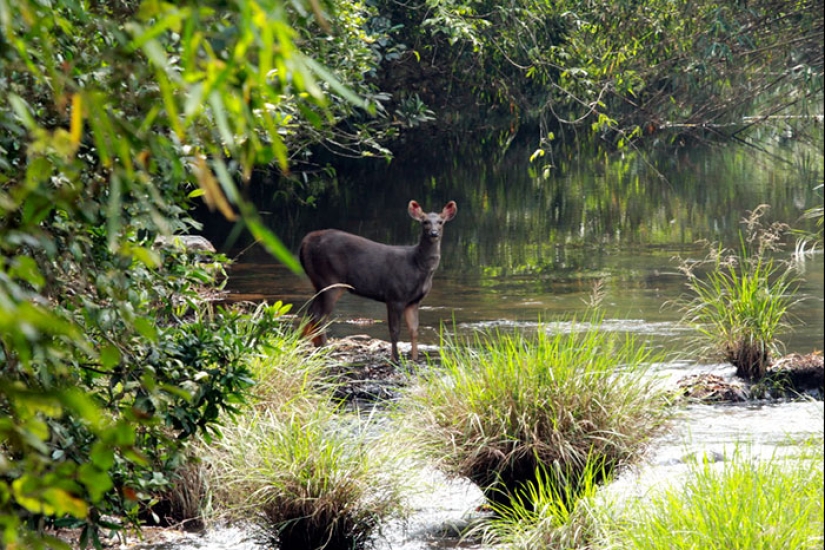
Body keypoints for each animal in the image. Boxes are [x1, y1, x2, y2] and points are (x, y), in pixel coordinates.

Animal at [300, 202, 458, 362]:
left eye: (441, 222)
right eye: (425, 222)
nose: (434, 233)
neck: (418, 265)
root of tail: (305, 242)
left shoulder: (414, 301)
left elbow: (414, 330)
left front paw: (414, 359)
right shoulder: (395, 295)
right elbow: (394, 330)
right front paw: (395, 359)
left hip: (319, 283)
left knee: (310, 312)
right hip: (329, 280)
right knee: (320, 316)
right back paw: (323, 349)